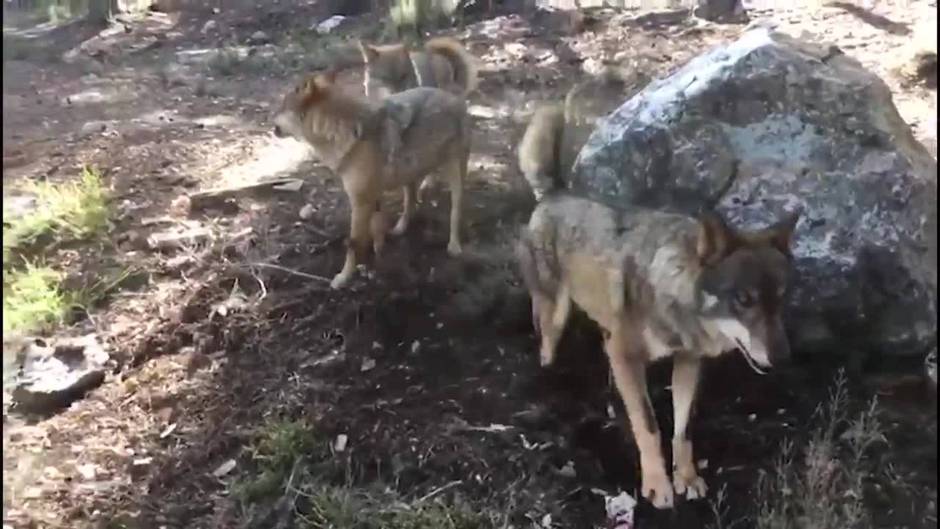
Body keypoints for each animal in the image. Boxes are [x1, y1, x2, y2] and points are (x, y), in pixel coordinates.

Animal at [272, 71, 470, 289]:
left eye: (282, 106)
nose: (272, 119)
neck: (339, 129)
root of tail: (451, 95)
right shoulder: (372, 197)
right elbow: (376, 230)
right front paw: (378, 256)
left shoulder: (360, 202)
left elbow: (354, 243)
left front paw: (344, 277)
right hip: (409, 177)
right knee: (410, 202)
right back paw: (400, 228)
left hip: (455, 174)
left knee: (455, 211)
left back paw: (454, 246)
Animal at [516, 105, 800, 509]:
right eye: (743, 300)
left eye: (782, 297)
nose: (783, 358)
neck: (673, 295)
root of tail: (555, 193)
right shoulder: (627, 356)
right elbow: (649, 426)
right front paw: (658, 486)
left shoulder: (689, 363)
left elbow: (682, 429)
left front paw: (688, 478)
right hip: (556, 313)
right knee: (546, 344)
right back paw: (549, 381)